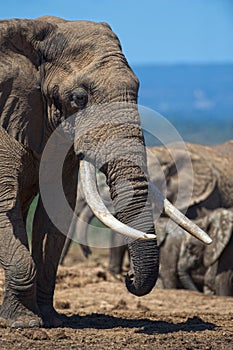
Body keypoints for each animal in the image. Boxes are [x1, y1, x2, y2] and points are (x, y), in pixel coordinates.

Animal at [0, 16, 209, 328]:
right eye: (79, 97)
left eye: (137, 89)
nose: (128, 278)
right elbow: (5, 206)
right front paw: (24, 324)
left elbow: (56, 213)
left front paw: (50, 320)